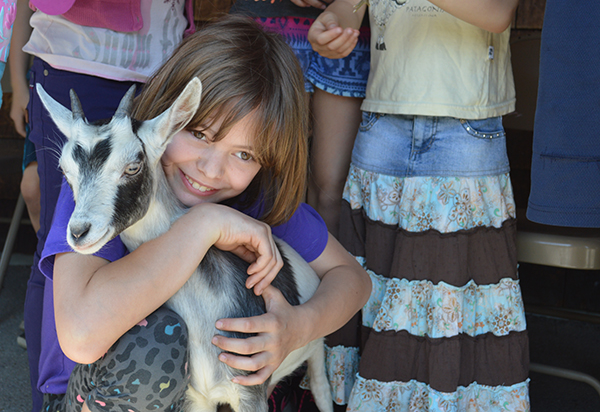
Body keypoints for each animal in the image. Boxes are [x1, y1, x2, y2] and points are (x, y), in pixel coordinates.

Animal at [37, 78, 332, 412]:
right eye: (65, 170)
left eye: (133, 167)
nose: (78, 232)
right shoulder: (195, 397)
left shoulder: (250, 392)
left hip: (316, 347)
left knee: (321, 386)